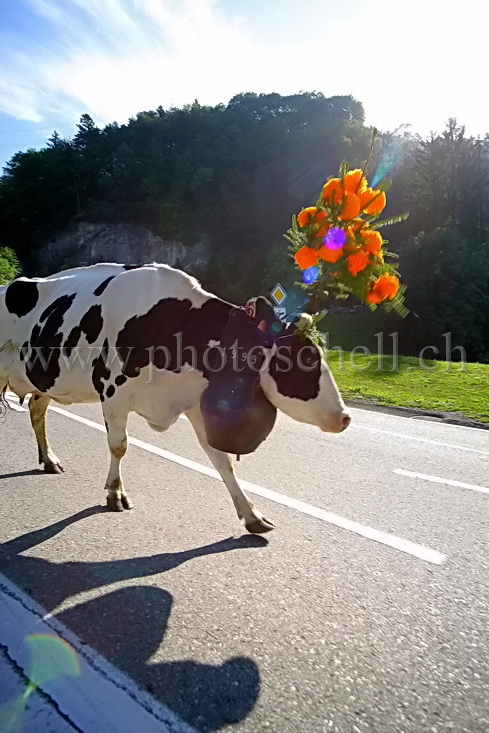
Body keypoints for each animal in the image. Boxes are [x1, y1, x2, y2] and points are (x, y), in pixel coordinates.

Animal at [0, 264, 350, 532]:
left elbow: (222, 461)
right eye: (306, 359)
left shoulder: (194, 401)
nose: (345, 417)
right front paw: (115, 494)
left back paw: (49, 460)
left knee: (37, 411)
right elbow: (119, 445)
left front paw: (251, 514)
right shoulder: (112, 390)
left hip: (43, 381)